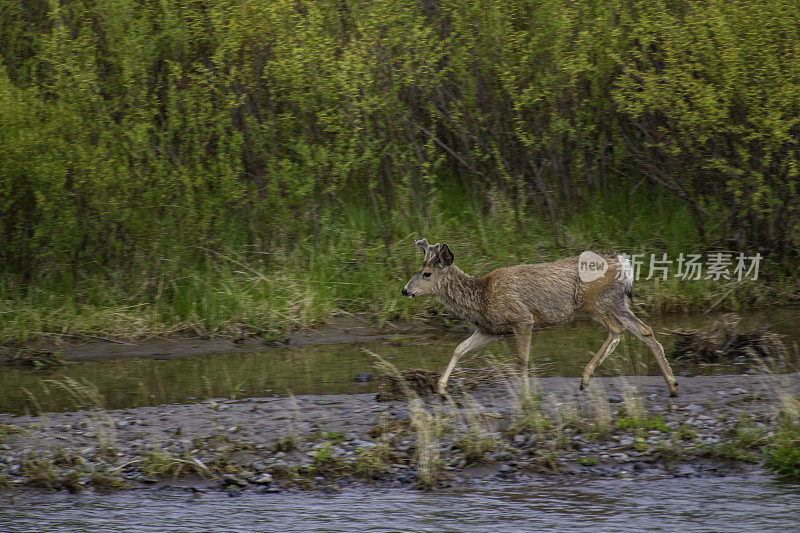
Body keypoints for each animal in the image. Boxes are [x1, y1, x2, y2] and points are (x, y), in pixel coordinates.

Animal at [400, 239, 676, 396]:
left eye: (425, 273)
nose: (405, 290)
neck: (481, 296)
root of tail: (624, 263)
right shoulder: (491, 329)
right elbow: (459, 348)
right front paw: (441, 388)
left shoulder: (522, 318)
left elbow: (522, 358)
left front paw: (526, 395)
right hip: (617, 301)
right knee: (644, 330)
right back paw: (672, 384)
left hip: (594, 301)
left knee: (618, 329)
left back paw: (585, 378)